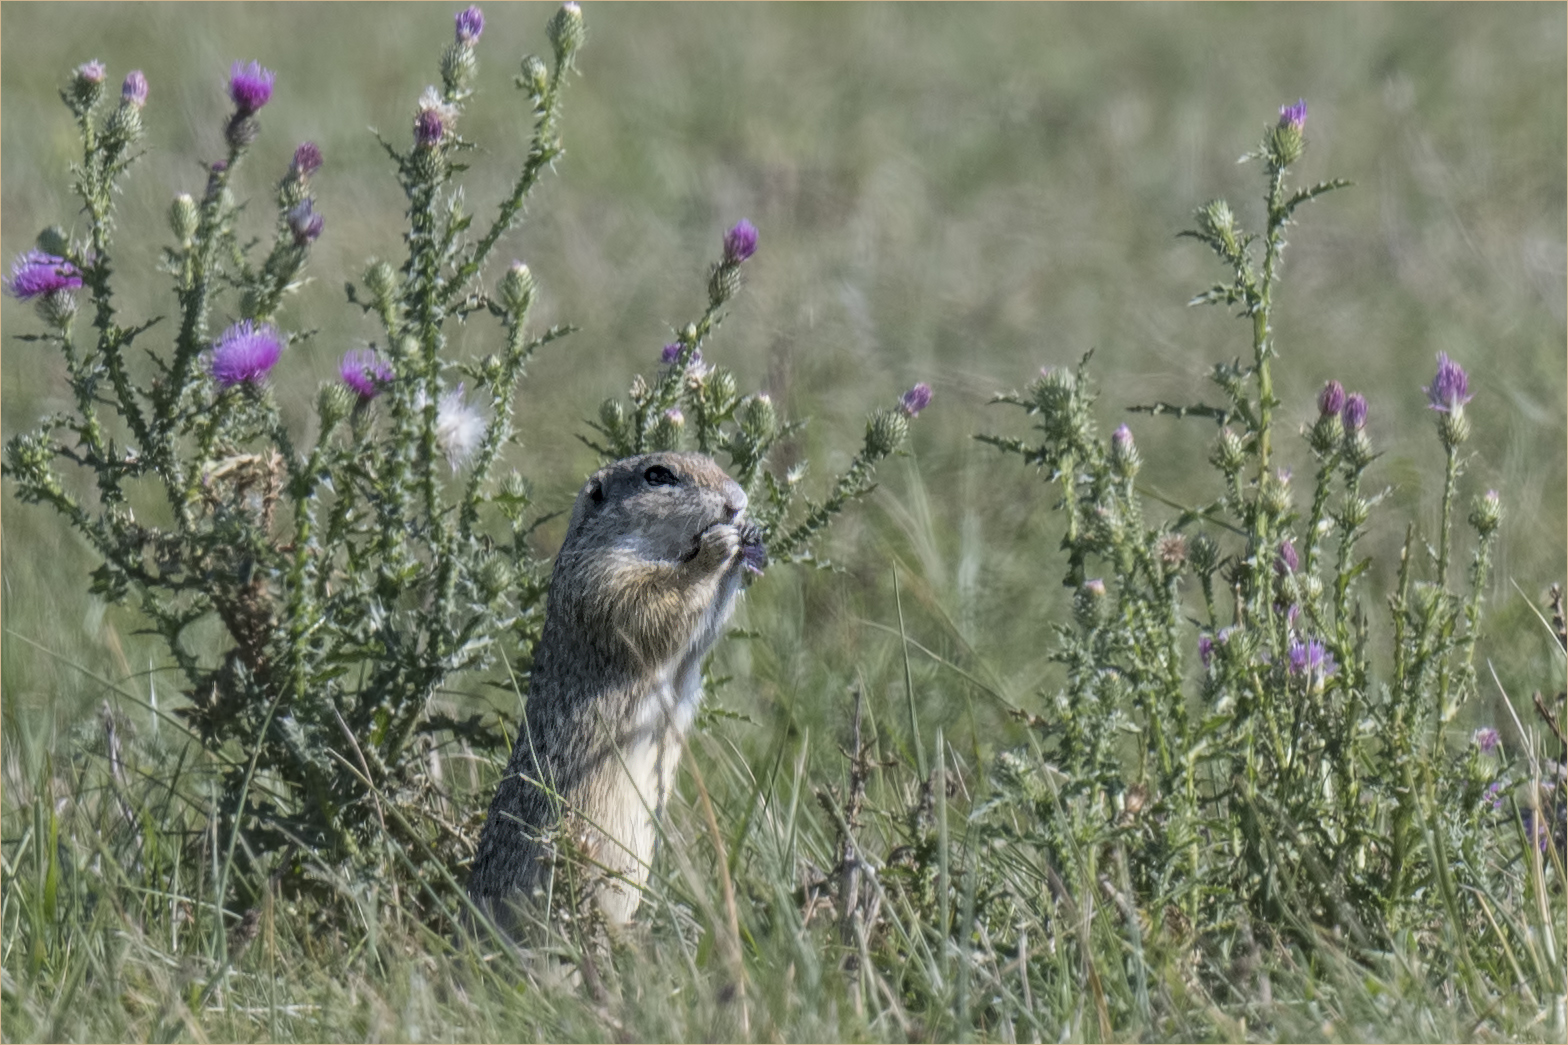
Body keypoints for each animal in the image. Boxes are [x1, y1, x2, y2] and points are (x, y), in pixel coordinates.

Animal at [464, 448, 765, 922]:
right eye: (658, 476)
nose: (737, 501)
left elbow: (701, 632)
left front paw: (748, 533)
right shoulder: (600, 581)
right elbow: (651, 606)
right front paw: (716, 549)